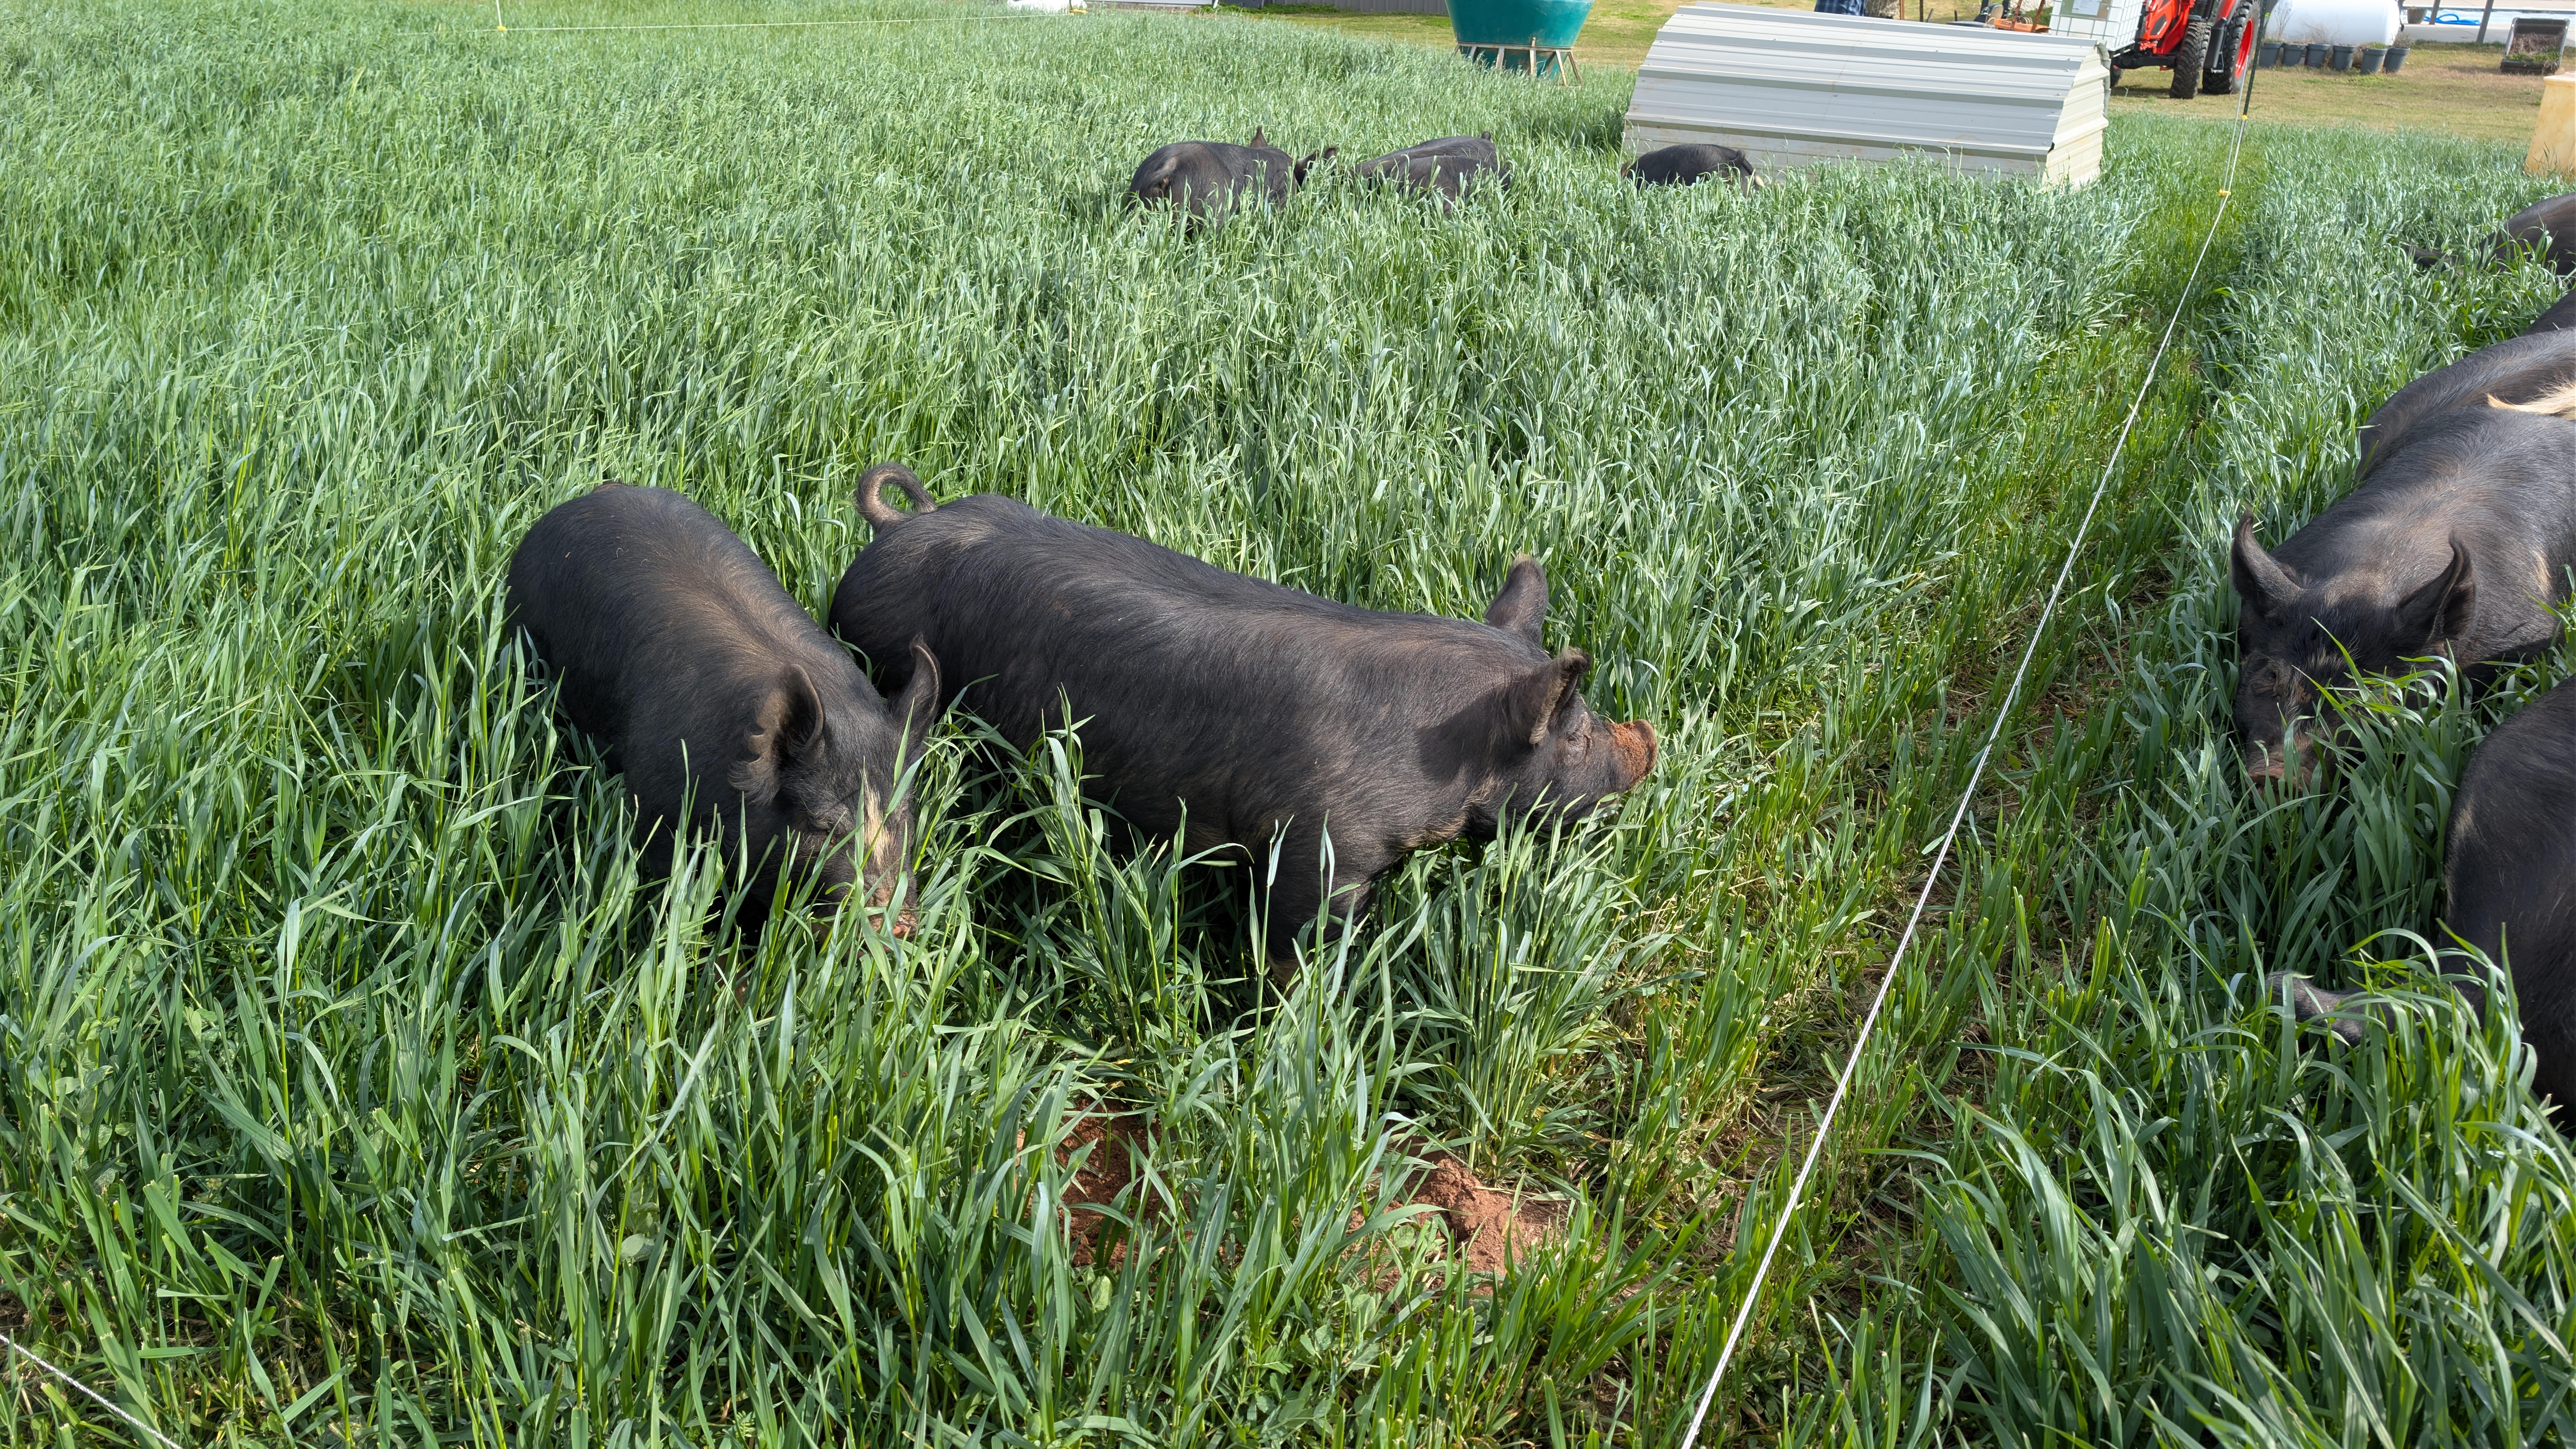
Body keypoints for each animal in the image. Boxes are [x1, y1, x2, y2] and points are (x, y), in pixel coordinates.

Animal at [825, 464, 1657, 960]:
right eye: (1573, 735)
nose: (1647, 743)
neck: (1440, 749)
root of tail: (898, 527)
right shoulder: (1318, 845)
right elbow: (1297, 941)